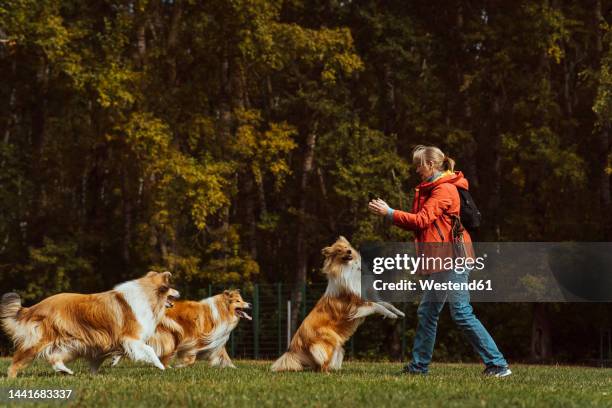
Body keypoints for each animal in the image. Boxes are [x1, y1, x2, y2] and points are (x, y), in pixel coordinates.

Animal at [1, 270, 179, 380]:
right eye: (171, 287)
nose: (179, 293)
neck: (148, 294)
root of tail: (37, 306)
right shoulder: (131, 337)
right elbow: (149, 350)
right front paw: (161, 367)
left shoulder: (107, 340)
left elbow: (105, 357)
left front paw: (98, 372)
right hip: (43, 339)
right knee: (21, 357)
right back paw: (11, 377)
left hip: (73, 343)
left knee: (55, 358)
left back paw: (67, 372)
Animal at [111, 288, 250, 368]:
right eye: (238, 301)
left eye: (242, 300)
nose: (250, 304)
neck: (222, 311)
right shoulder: (196, 339)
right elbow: (191, 358)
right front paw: (180, 366)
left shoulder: (216, 342)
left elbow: (224, 357)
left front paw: (234, 368)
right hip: (168, 335)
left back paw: (114, 361)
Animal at [270, 236, 404, 372]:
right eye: (339, 251)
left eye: (346, 247)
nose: (349, 251)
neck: (348, 268)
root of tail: (294, 344)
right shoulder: (357, 306)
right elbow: (379, 306)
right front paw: (391, 315)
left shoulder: (369, 299)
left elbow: (386, 304)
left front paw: (399, 313)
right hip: (330, 340)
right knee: (322, 364)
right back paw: (328, 372)